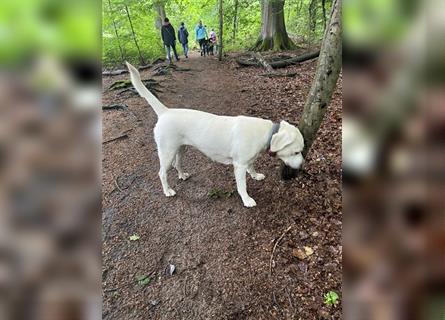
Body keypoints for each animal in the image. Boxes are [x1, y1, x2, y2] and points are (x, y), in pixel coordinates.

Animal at [126, 62, 304, 208]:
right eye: (296, 152)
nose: (302, 165)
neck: (267, 133)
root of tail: (165, 111)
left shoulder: (248, 160)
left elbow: (252, 168)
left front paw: (255, 175)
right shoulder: (239, 165)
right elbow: (242, 186)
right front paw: (246, 200)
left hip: (181, 149)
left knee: (177, 165)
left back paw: (182, 175)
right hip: (167, 152)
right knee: (162, 173)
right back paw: (168, 191)